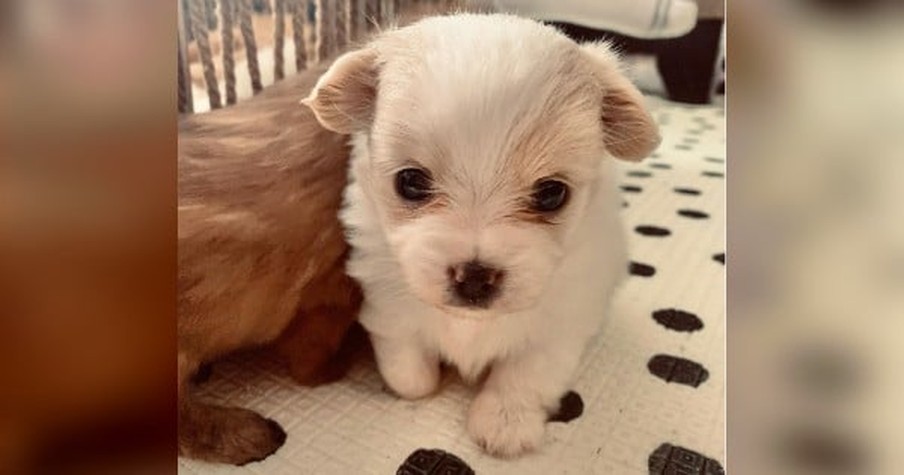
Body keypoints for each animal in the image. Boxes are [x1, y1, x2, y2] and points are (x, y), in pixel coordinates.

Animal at [304, 13, 656, 456]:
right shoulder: (388, 301)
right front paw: (423, 382)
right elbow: (408, 368)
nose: (474, 277)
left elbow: (525, 373)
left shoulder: (561, 323)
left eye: (551, 194)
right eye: (411, 182)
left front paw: (504, 422)